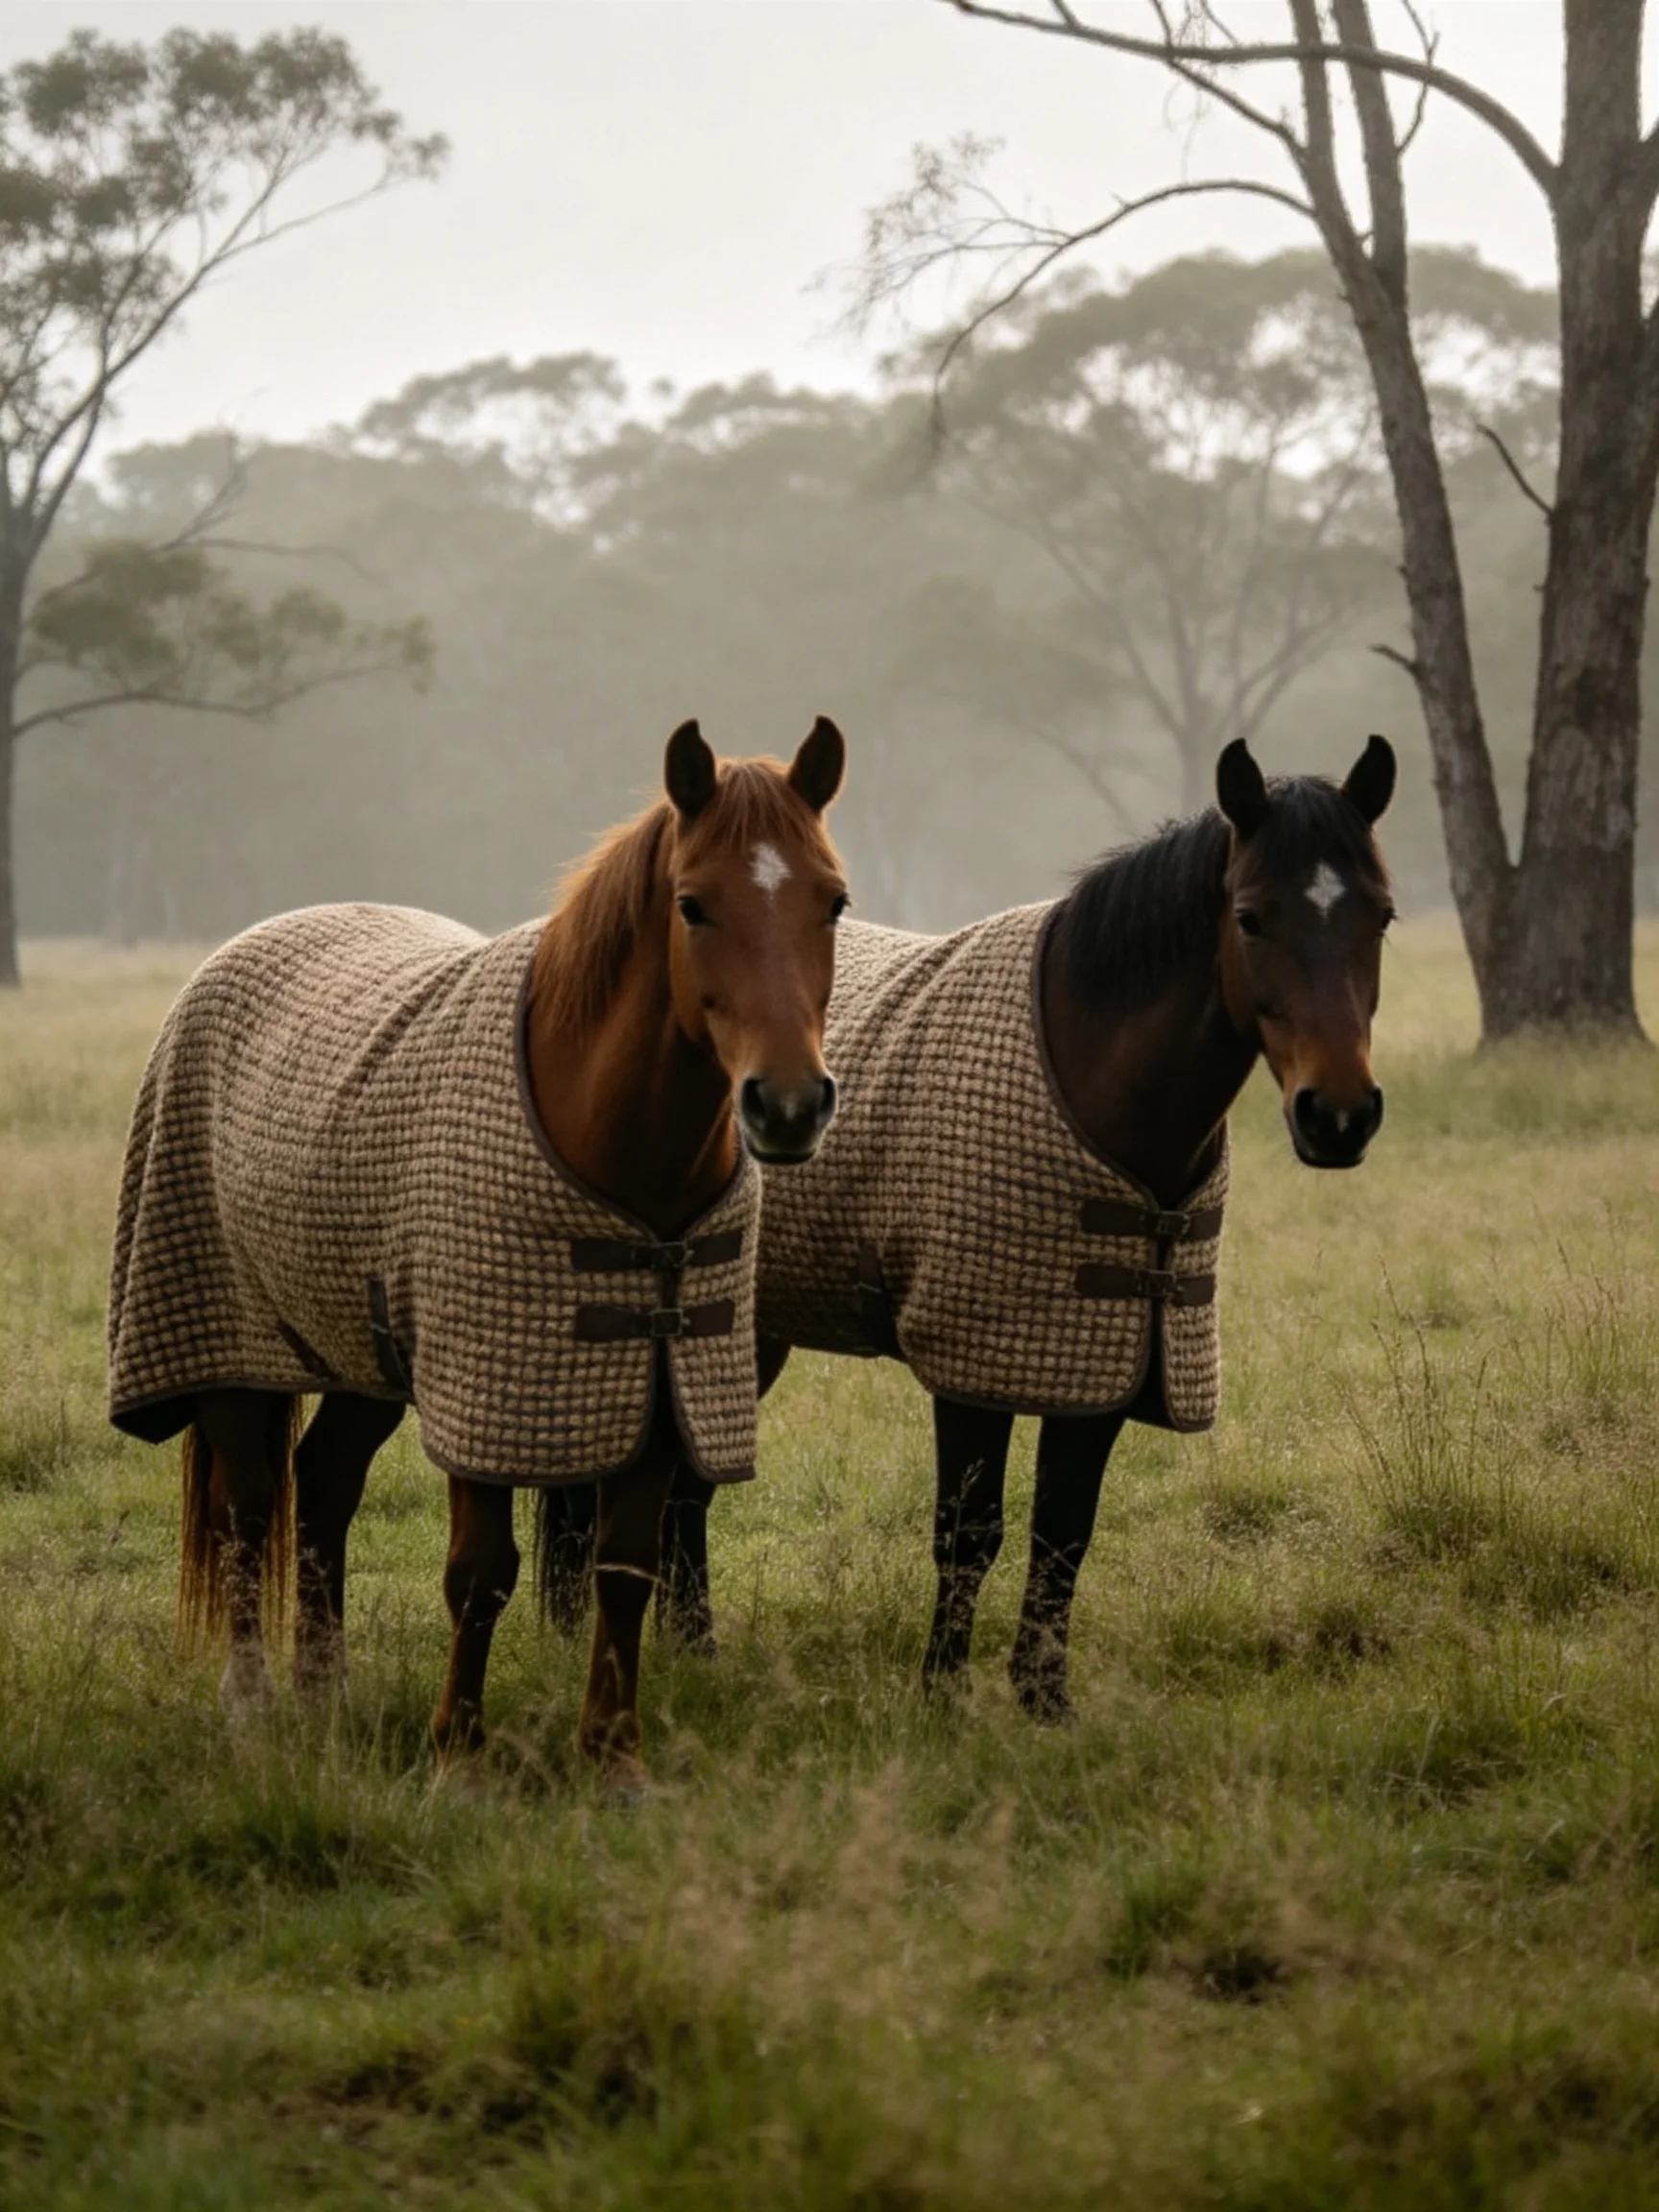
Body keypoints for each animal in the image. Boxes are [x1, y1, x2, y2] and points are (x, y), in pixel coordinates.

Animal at [107, 717, 850, 1787]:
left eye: (834, 900)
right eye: (693, 904)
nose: (788, 1106)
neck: (619, 1147)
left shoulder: (658, 1384)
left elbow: (625, 1570)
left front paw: (613, 1756)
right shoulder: (484, 1390)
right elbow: (479, 1574)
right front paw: (458, 1753)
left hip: (365, 1354)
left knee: (323, 1483)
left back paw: (324, 1688)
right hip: (228, 1345)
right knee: (250, 1506)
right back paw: (252, 1703)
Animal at [539, 732, 1394, 1720]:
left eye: (1381, 916)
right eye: (1251, 918)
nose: (1339, 1115)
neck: (1089, 1073)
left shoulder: (1101, 1355)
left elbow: (1064, 1531)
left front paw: (1044, 1699)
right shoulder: (973, 1360)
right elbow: (969, 1530)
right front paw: (943, 1693)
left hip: (741, 1333)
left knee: (686, 1495)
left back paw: (696, 1652)